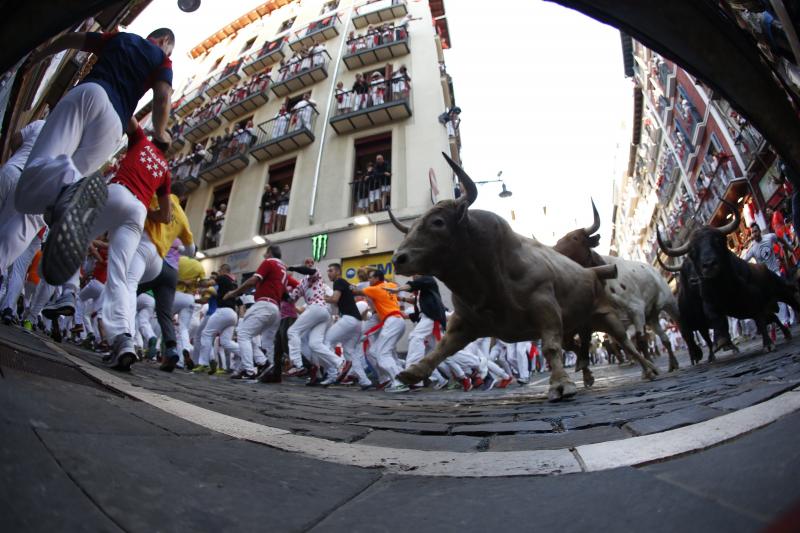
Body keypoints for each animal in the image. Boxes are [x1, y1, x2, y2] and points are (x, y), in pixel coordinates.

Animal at [656, 204, 800, 354]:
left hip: (783, 291)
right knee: (774, 317)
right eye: (693, 251)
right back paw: (786, 334)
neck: (722, 285)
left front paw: (768, 344)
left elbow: (759, 319)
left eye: (718, 241)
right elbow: (716, 320)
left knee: (792, 303)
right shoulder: (709, 305)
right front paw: (722, 341)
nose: (709, 265)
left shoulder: (754, 300)